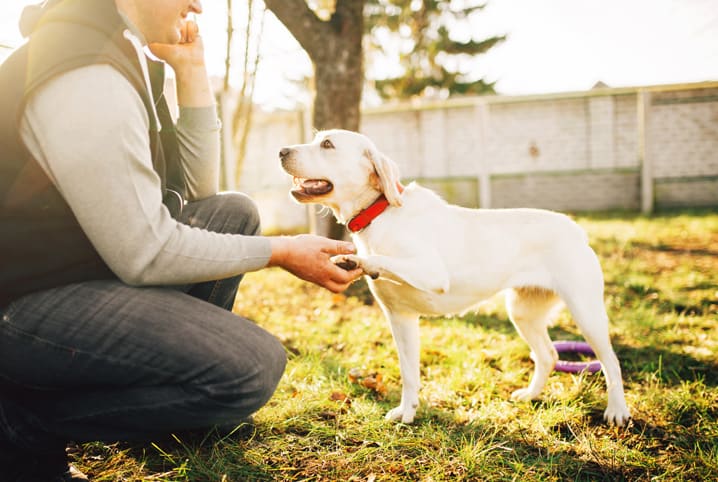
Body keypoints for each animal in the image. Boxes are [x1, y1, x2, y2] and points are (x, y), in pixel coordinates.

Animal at [278, 128, 632, 426]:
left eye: (327, 144)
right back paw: (530, 395)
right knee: (548, 355)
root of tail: (575, 228)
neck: (381, 214)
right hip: (522, 313)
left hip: (586, 314)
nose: (281, 150)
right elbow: (409, 373)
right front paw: (407, 412)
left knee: (611, 362)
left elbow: (380, 258)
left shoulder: (432, 272)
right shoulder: (400, 319)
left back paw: (617, 411)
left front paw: (358, 260)